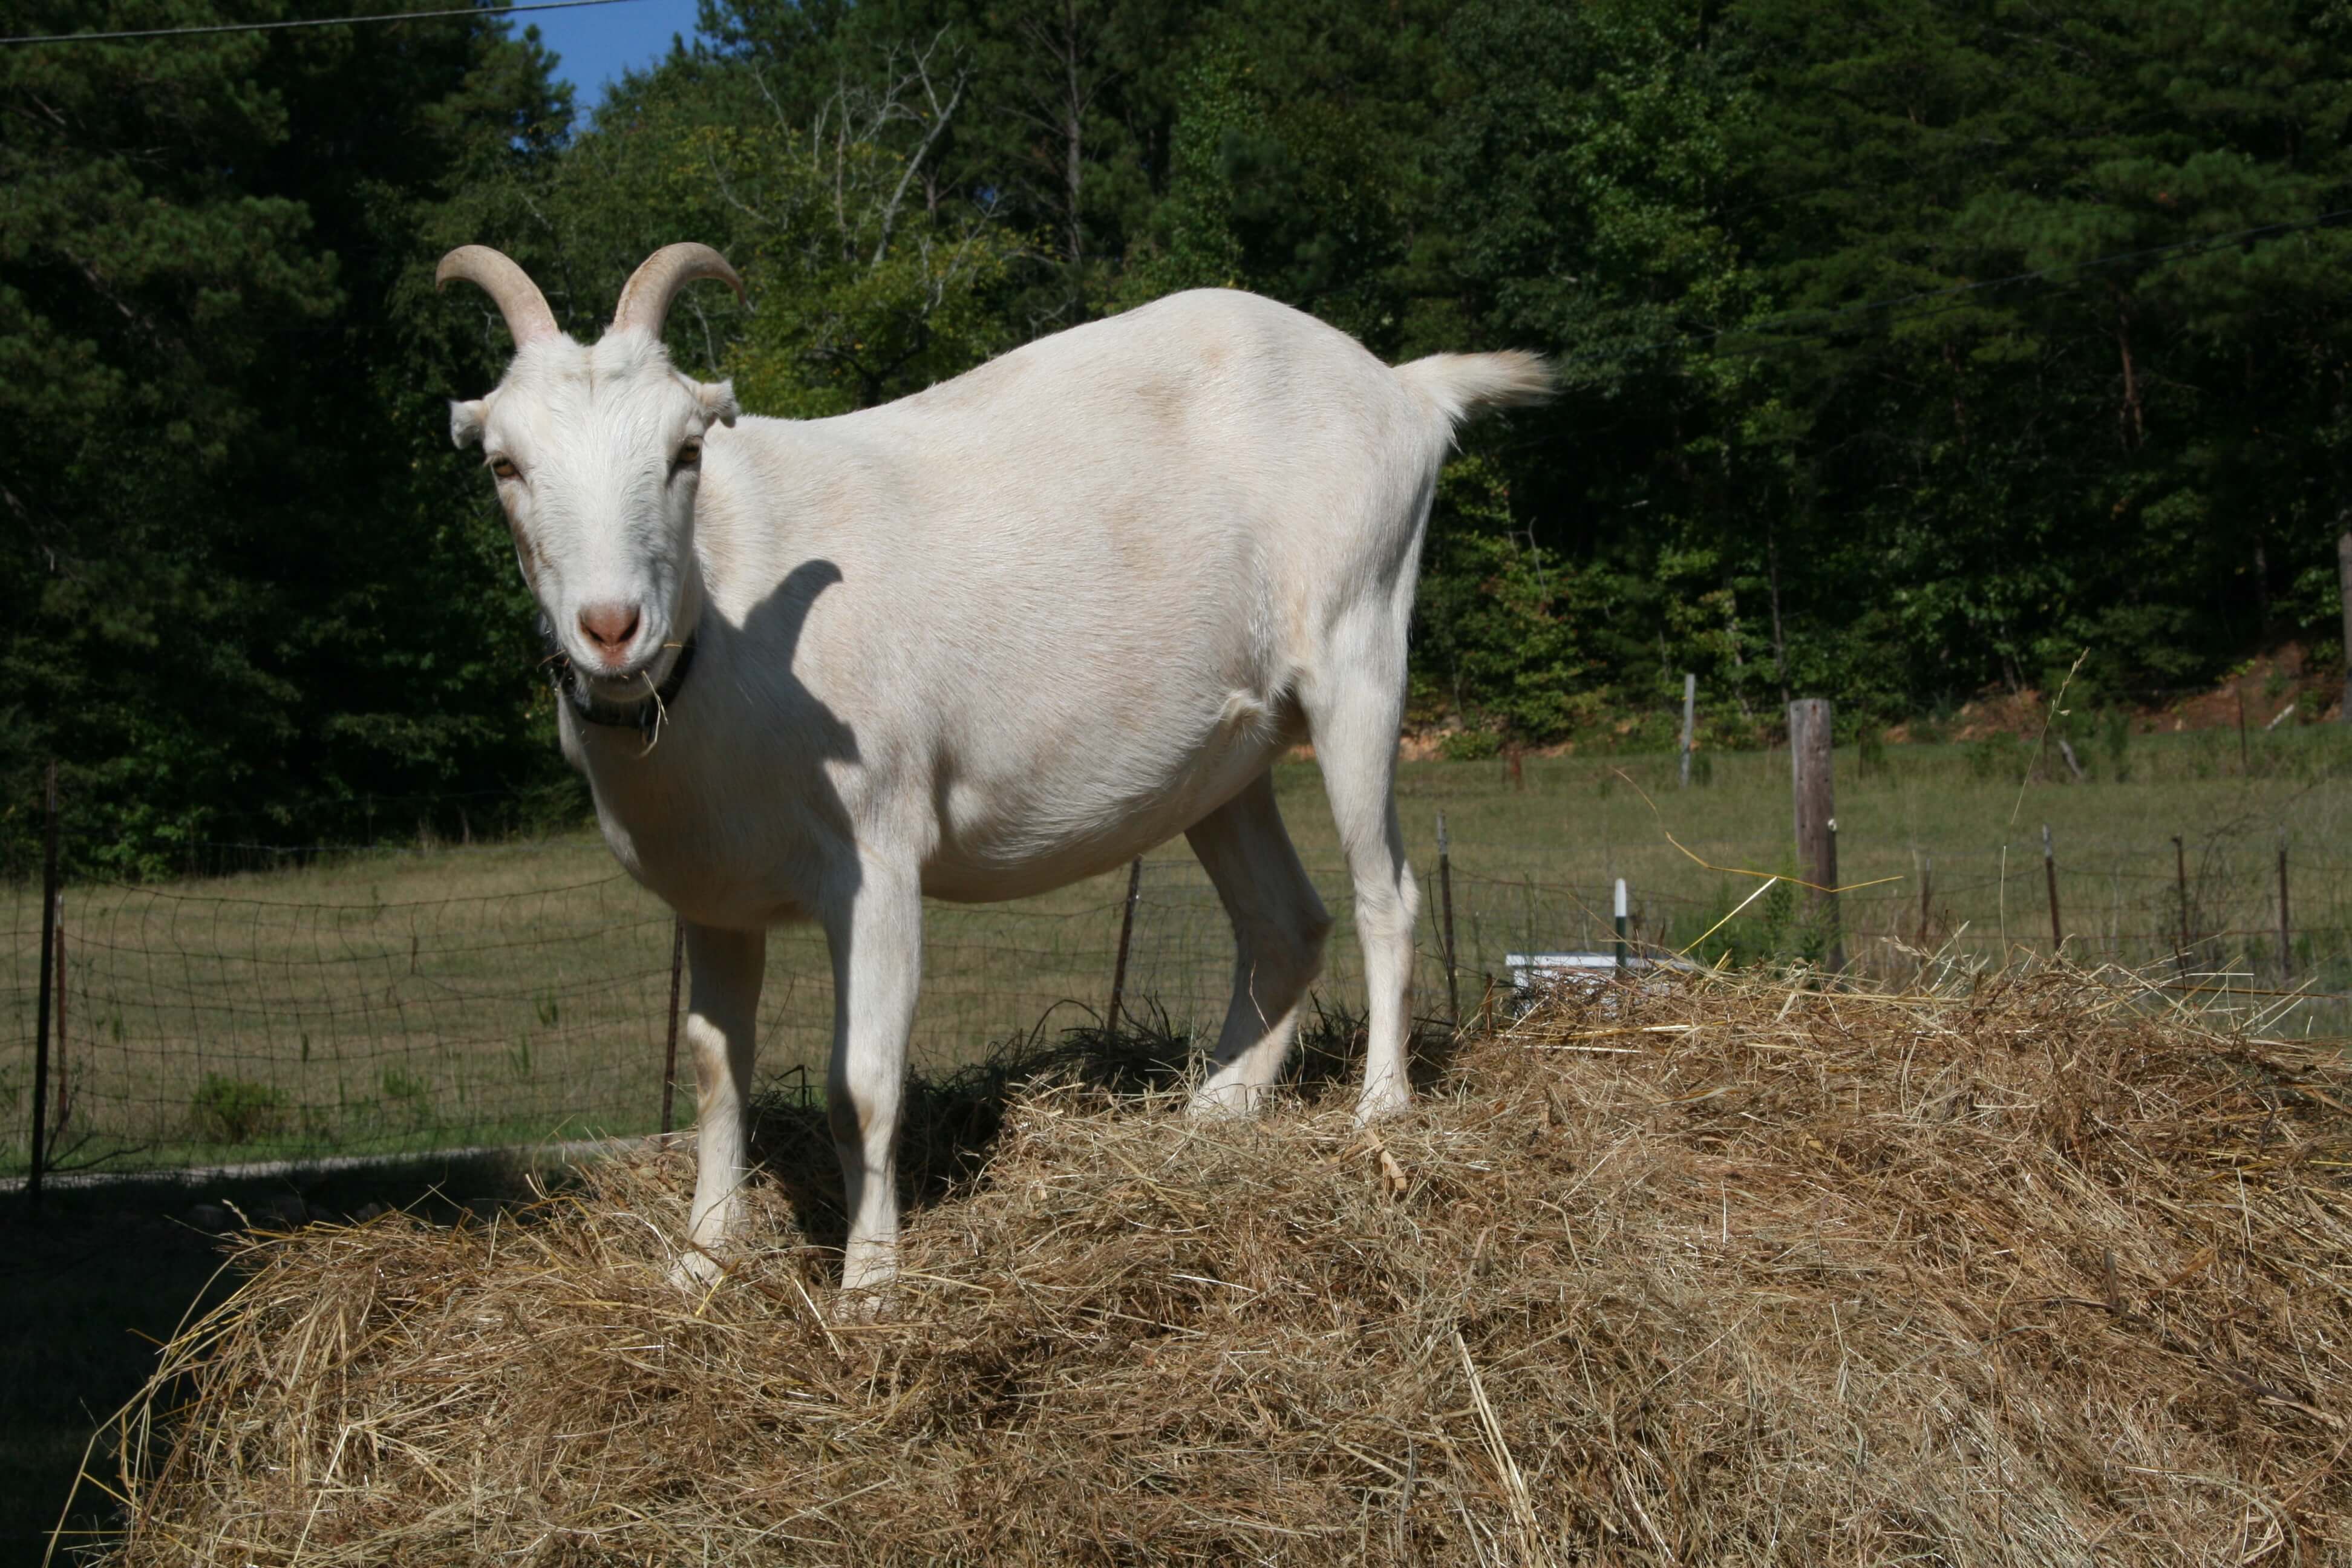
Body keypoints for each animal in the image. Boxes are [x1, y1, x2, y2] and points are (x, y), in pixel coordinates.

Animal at [437, 246, 1543, 1288]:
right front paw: (702, 1262)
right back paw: (1215, 1112)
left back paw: (1380, 1110)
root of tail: (1405, 389)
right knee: (1285, 923)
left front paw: (869, 1285)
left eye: (685, 452)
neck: (727, 624)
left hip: (1359, 644)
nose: (611, 628)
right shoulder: (711, 895)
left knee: (1385, 894)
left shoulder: (877, 859)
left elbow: (861, 1084)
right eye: (502, 465)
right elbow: (715, 1068)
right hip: (1227, 756)